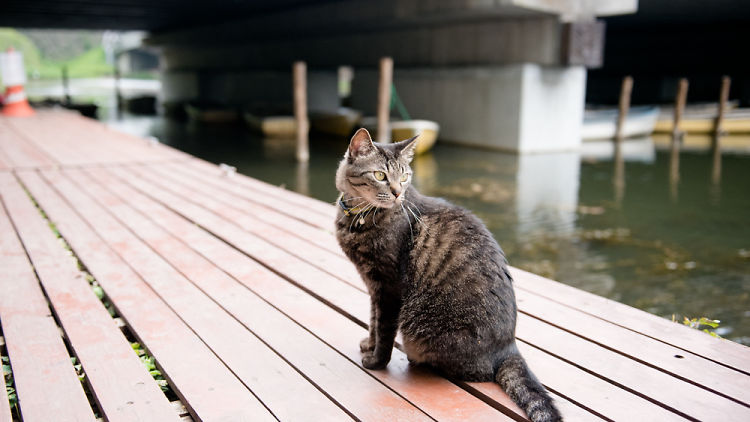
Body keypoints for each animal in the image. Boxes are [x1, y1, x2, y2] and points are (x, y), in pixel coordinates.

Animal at [336, 129, 564, 422]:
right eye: (379, 175)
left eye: (404, 177)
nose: (397, 193)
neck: (358, 215)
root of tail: (508, 348)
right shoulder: (374, 287)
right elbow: (373, 322)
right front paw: (369, 344)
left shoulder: (388, 288)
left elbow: (384, 330)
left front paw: (376, 361)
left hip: (424, 330)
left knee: (476, 372)